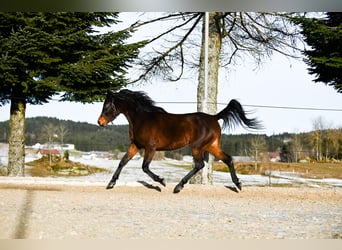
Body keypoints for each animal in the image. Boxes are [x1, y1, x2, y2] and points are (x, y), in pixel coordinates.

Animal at [97, 90, 260, 193]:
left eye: (107, 106)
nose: (100, 122)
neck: (143, 119)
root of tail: (214, 117)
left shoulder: (150, 147)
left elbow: (145, 167)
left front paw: (161, 182)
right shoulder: (135, 145)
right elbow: (122, 162)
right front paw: (111, 183)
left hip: (197, 146)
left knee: (200, 164)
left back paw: (178, 187)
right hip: (212, 146)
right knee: (228, 159)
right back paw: (238, 184)